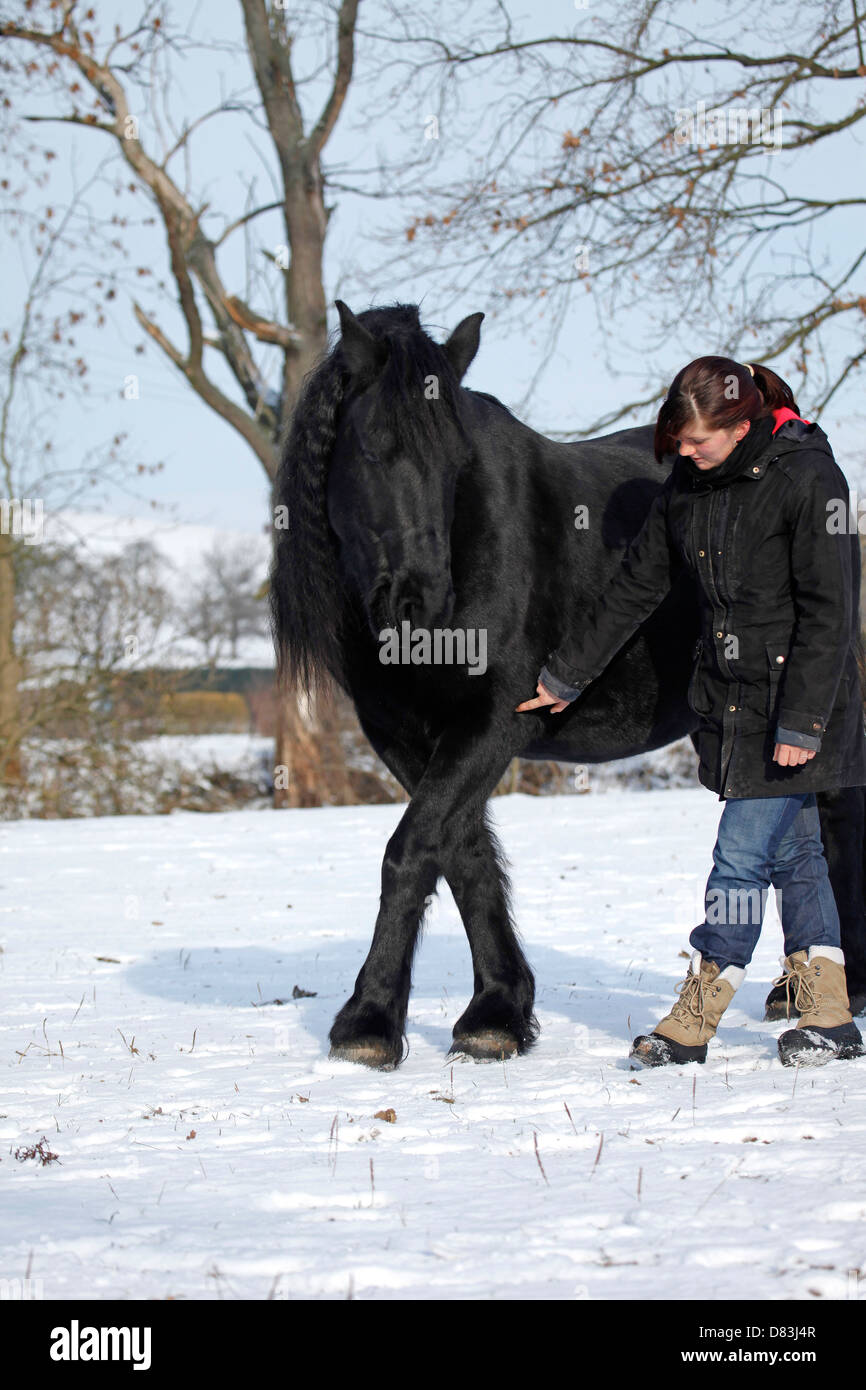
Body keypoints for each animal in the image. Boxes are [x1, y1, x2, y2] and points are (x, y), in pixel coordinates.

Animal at [271, 298, 866, 1067]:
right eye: (371, 446)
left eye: (457, 461)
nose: (422, 605)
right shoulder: (403, 735)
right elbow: (460, 852)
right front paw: (497, 1010)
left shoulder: (495, 720)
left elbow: (411, 850)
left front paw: (368, 1021)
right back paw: (792, 994)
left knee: (839, 826)